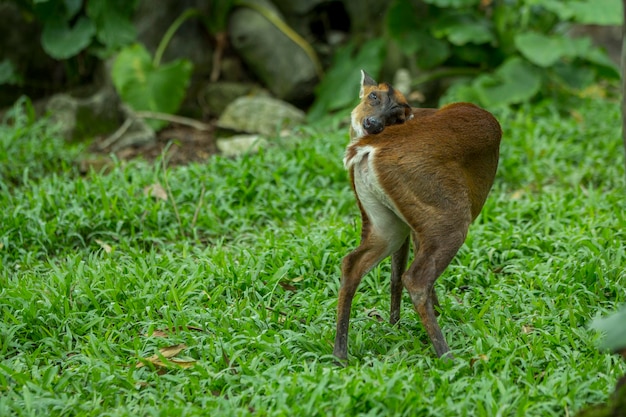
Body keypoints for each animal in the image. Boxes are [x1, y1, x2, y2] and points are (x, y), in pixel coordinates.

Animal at [332, 70, 502, 360]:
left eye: (397, 115)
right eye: (373, 96)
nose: (372, 123)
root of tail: (368, 147)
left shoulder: (407, 225)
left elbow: (394, 272)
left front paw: (395, 324)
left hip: (386, 221)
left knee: (353, 262)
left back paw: (340, 355)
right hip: (446, 213)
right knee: (416, 278)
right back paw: (447, 355)